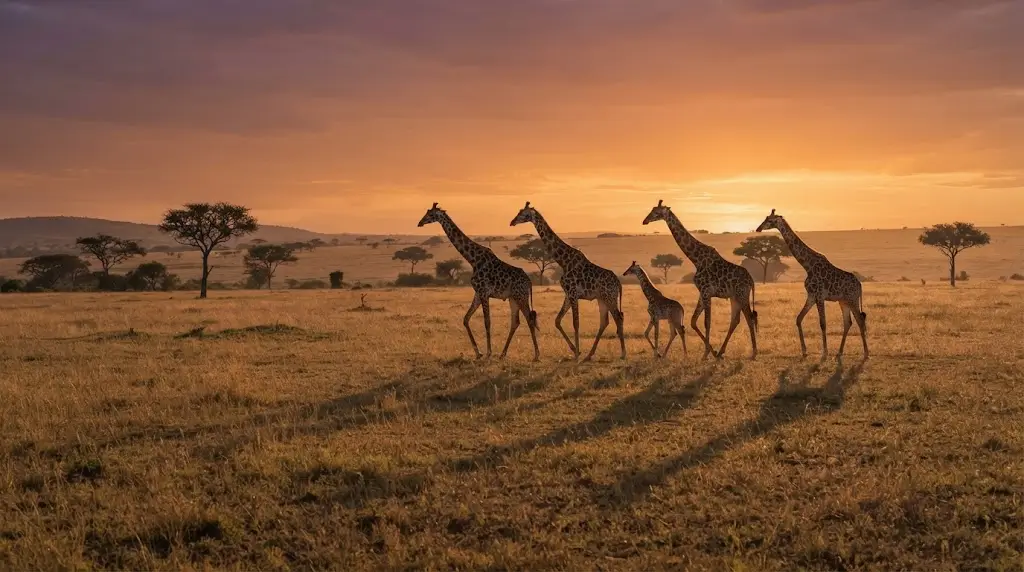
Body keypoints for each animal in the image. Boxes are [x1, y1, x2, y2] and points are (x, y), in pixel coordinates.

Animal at [418, 203, 540, 361]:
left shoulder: (484, 292)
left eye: (431, 215)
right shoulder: (477, 293)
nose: (420, 223)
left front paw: (488, 352)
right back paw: (503, 354)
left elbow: (487, 322)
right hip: (513, 298)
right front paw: (478, 352)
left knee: (529, 319)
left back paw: (536, 355)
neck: (473, 259)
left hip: (521, 297)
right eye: (427, 212)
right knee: (516, 321)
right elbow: (466, 319)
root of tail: (529, 282)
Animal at [510, 202, 625, 361]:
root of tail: (618, 284)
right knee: (605, 321)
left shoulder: (573, 293)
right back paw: (589, 355)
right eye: (519, 211)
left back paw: (623, 354)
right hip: (602, 299)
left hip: (610, 297)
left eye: (524, 214)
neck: (563, 261)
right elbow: (557, 320)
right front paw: (576, 351)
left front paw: (576, 354)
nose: (512, 222)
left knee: (618, 318)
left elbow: (575, 323)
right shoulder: (568, 294)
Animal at [643, 200, 758, 360]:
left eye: (657, 212)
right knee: (735, 320)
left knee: (749, 318)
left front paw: (706, 354)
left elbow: (706, 322)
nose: (645, 221)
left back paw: (754, 353)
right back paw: (721, 352)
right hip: (734, 297)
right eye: (652, 210)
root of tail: (751, 280)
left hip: (742, 294)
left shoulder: (706, 291)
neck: (696, 259)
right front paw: (712, 351)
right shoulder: (702, 292)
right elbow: (693, 321)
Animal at [756, 209, 868, 359]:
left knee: (860, 321)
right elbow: (798, 319)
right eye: (766, 218)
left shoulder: (819, 296)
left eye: (770, 220)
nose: (758, 228)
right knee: (848, 322)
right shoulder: (811, 296)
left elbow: (823, 323)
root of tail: (860, 285)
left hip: (852, 299)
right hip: (843, 301)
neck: (807, 265)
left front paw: (825, 352)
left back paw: (866, 353)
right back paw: (839, 352)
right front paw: (804, 351)